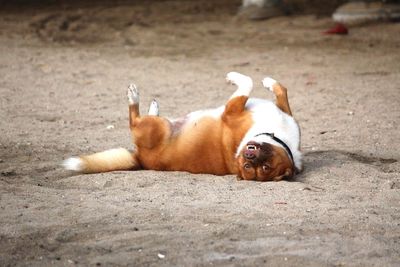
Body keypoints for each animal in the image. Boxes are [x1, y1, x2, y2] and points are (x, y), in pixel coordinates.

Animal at [62, 73, 302, 182]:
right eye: (249, 165)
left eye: (263, 167)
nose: (250, 155)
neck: (276, 136)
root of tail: (139, 158)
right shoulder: (283, 111)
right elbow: (280, 90)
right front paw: (269, 82)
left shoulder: (232, 109)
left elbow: (247, 83)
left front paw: (235, 77)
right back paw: (153, 105)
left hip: (154, 127)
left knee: (134, 119)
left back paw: (134, 96)